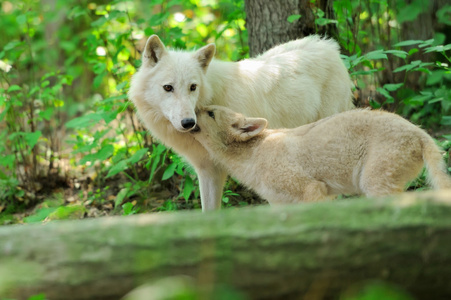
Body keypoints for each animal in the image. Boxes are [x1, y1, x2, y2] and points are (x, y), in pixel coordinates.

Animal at [129, 35, 354, 211]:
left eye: (193, 87)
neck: (212, 95)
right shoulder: (208, 170)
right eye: (168, 87)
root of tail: (328, 45)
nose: (188, 122)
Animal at [191, 105, 451, 204]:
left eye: (210, 113)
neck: (252, 157)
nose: (189, 112)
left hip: (374, 185)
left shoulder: (311, 190)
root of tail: (420, 133)